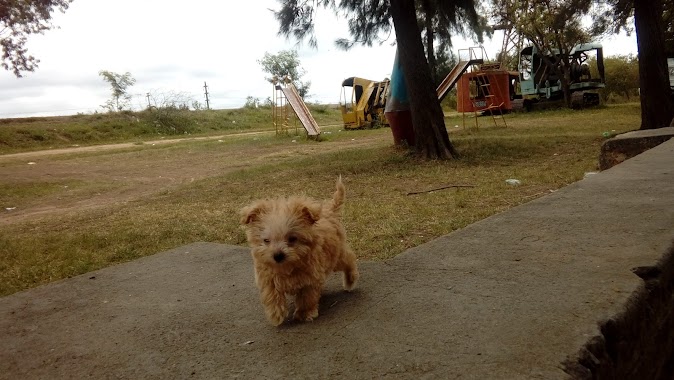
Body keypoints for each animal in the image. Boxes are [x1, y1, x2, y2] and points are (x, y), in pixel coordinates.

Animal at [240, 177, 360, 326]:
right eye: (266, 240)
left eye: (292, 239)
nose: (278, 255)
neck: (288, 267)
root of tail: (329, 210)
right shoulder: (267, 277)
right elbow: (271, 294)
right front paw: (276, 314)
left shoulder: (310, 279)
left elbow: (306, 298)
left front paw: (304, 313)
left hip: (336, 256)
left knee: (349, 258)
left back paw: (350, 279)